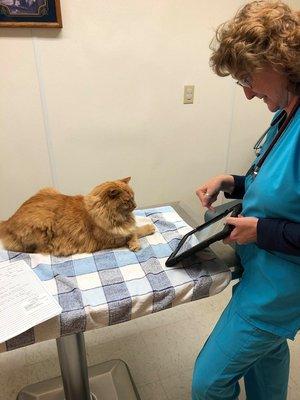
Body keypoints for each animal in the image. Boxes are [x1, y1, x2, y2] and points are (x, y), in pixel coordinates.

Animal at [0, 177, 155, 256]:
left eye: (133, 197)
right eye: (128, 200)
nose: (135, 205)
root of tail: (7, 222)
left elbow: (133, 230)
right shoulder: (112, 239)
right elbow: (135, 232)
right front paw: (146, 232)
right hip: (42, 222)